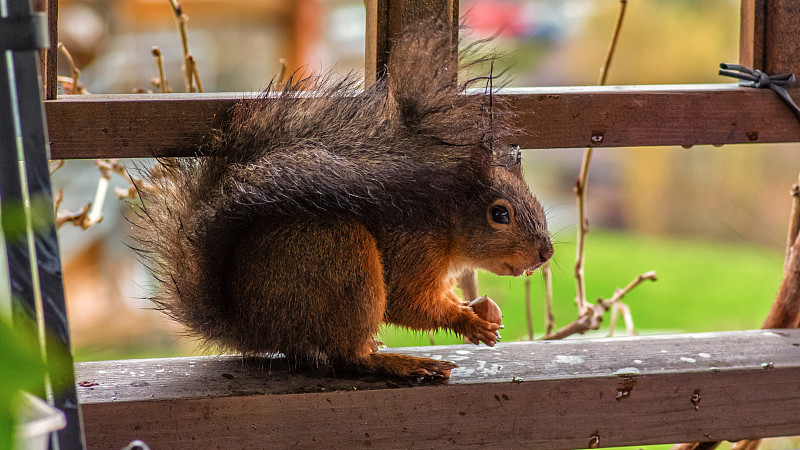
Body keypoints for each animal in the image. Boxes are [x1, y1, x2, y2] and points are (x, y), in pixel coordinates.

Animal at [133, 22, 556, 380]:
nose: (546, 253)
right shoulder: (412, 247)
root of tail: (252, 327)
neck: (444, 221)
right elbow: (407, 301)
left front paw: (483, 308)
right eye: (498, 214)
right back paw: (401, 363)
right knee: (346, 357)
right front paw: (469, 321)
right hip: (342, 259)